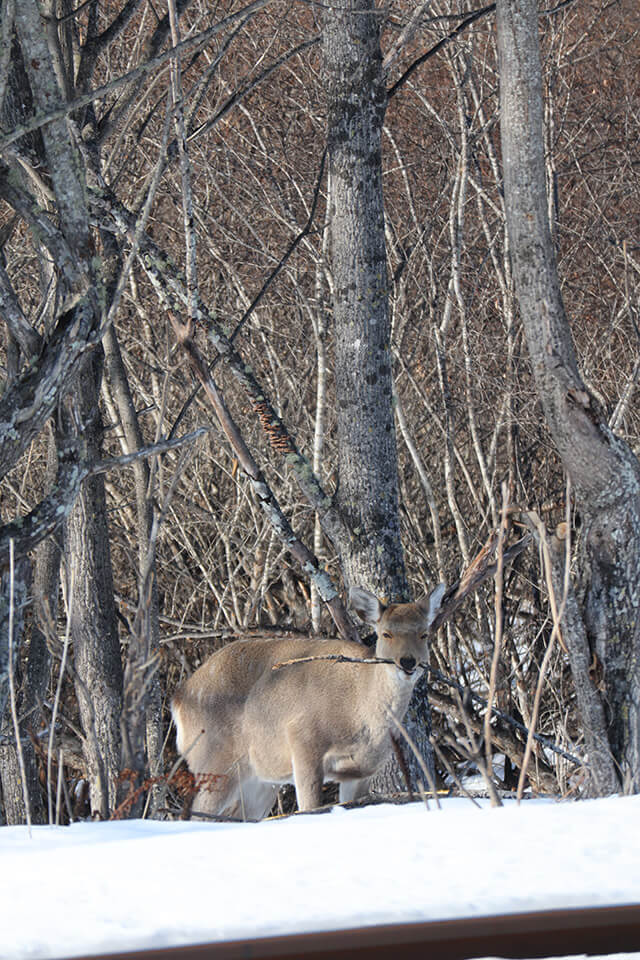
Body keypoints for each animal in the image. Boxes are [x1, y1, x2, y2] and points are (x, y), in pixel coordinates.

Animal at [172, 580, 448, 820]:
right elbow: (309, 807)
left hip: (259, 779)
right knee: (198, 814)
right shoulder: (304, 740)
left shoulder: (360, 770)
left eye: (424, 634)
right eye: (386, 634)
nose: (408, 662)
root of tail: (178, 699)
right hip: (214, 759)